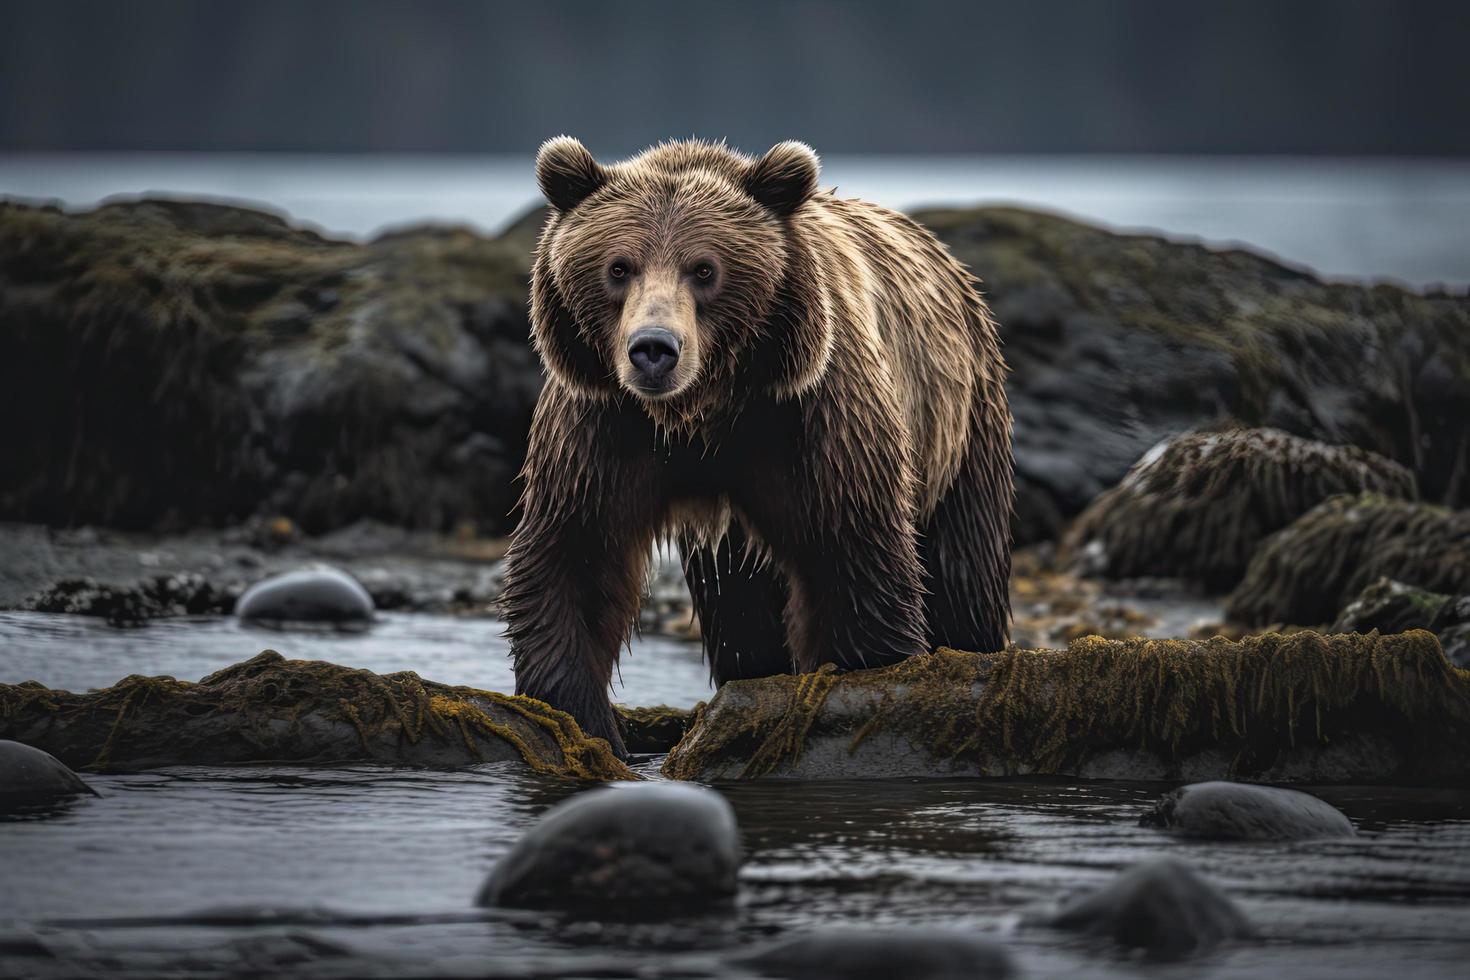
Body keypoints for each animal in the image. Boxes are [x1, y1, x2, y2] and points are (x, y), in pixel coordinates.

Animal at [496, 138, 1011, 758]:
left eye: (704, 268)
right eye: (618, 267)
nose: (653, 349)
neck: (702, 412)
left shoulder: (814, 419)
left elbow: (857, 561)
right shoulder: (603, 426)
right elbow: (575, 556)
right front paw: (581, 720)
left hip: (965, 425)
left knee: (963, 568)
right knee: (740, 609)